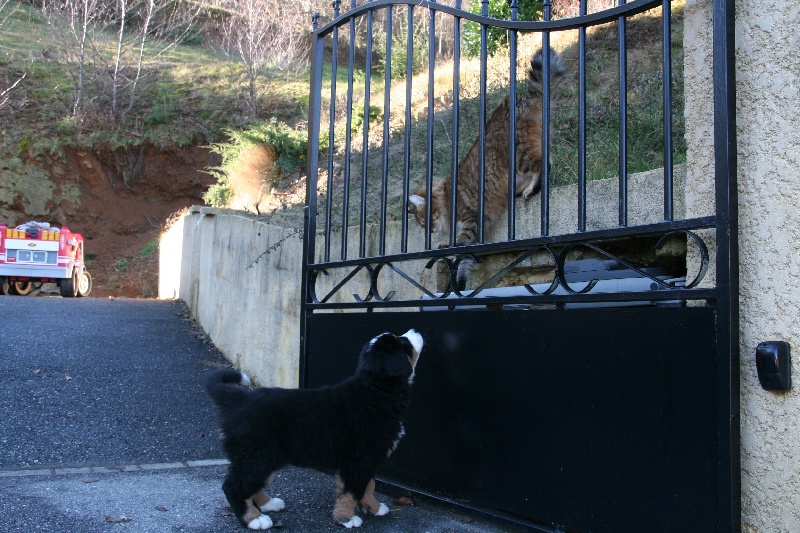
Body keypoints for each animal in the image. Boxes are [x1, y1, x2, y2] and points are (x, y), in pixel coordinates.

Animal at [206, 329, 424, 530]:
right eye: (403, 342)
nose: (415, 330)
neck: (376, 391)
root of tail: (239, 399)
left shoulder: (369, 458)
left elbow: (369, 485)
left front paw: (374, 507)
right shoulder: (358, 460)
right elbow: (352, 491)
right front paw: (346, 518)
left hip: (263, 456)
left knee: (252, 483)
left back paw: (268, 504)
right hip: (256, 454)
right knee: (234, 486)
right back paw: (254, 519)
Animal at [408, 48, 566, 289]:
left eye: (425, 221)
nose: (431, 230)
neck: (445, 195)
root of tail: (515, 106)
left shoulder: (472, 217)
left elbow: (462, 243)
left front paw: (451, 247)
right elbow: (465, 258)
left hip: (517, 156)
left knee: (543, 164)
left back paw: (532, 187)